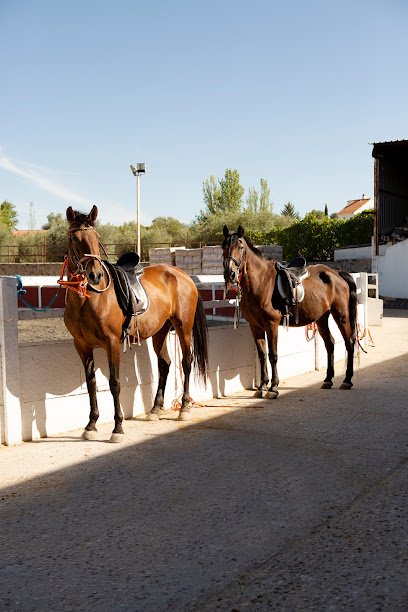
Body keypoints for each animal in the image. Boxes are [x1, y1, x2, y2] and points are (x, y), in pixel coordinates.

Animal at [62, 206, 209, 440]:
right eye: (74, 238)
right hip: (160, 330)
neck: (88, 300)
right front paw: (91, 425)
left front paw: (118, 428)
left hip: (183, 327)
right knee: (165, 363)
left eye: (97, 237)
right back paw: (155, 409)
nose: (95, 275)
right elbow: (91, 383)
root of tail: (183, 275)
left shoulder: (112, 342)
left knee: (186, 362)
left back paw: (184, 408)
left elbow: (114, 383)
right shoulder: (82, 345)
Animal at [222, 225, 358, 396]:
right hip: (321, 319)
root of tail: (337, 274)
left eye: (240, 247)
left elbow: (273, 355)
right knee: (330, 344)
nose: (230, 274)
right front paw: (262, 386)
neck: (260, 282)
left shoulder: (271, 324)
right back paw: (328, 379)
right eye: (223, 247)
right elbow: (262, 355)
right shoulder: (255, 326)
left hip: (341, 315)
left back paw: (347, 380)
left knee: (349, 343)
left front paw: (273, 387)